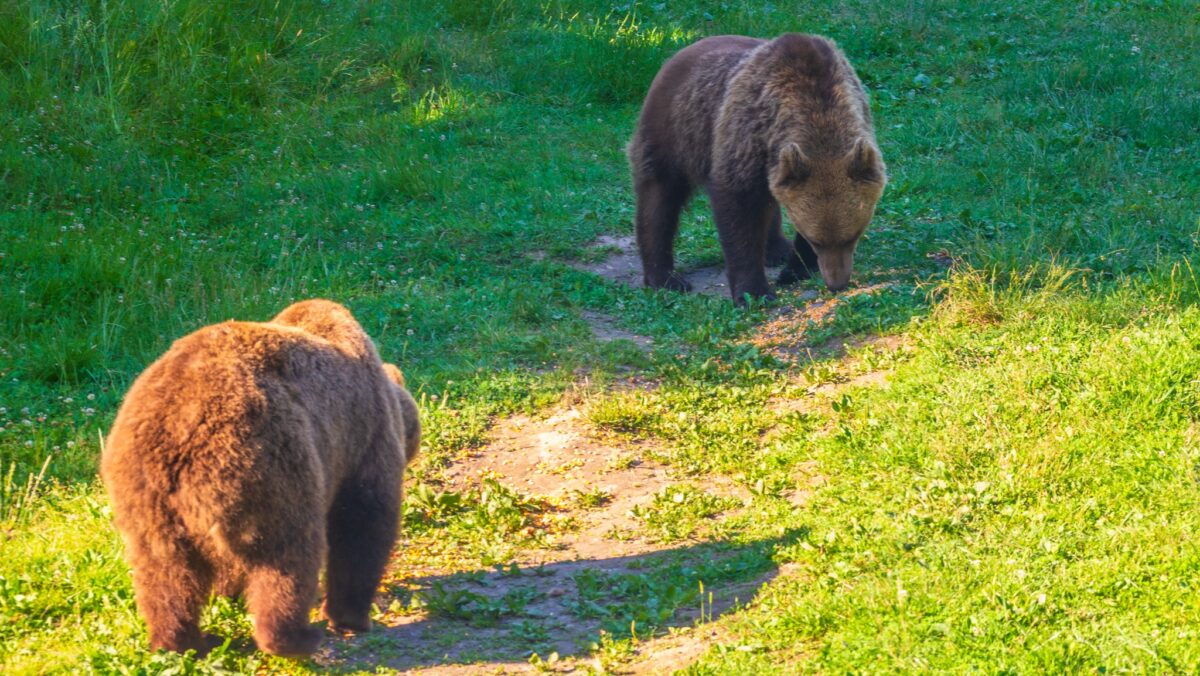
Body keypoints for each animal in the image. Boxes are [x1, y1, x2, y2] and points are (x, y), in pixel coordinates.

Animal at [102, 298, 422, 657]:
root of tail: (180, 437)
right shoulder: (362, 435)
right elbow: (363, 524)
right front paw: (353, 616)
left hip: (145, 494)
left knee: (165, 573)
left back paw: (183, 642)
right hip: (272, 465)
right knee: (288, 555)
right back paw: (295, 637)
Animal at [624, 33, 888, 303]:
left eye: (853, 235)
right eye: (817, 241)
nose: (837, 283)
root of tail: (679, 53)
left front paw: (795, 268)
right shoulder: (745, 134)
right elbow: (739, 211)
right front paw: (754, 291)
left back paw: (777, 249)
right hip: (676, 131)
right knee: (659, 199)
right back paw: (665, 277)